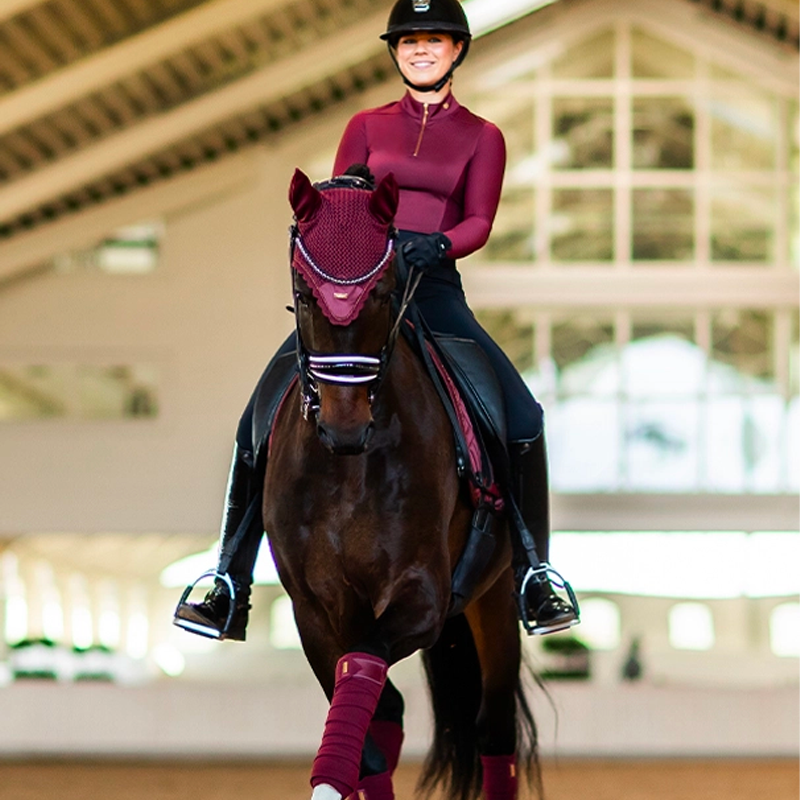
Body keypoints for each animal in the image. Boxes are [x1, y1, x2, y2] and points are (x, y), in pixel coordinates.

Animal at [262, 167, 536, 800]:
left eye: (385, 292)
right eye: (305, 294)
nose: (345, 426)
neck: (348, 468)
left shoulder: (423, 597)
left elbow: (363, 670)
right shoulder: (314, 609)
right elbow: (363, 732)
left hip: (493, 598)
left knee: (494, 729)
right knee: (388, 715)